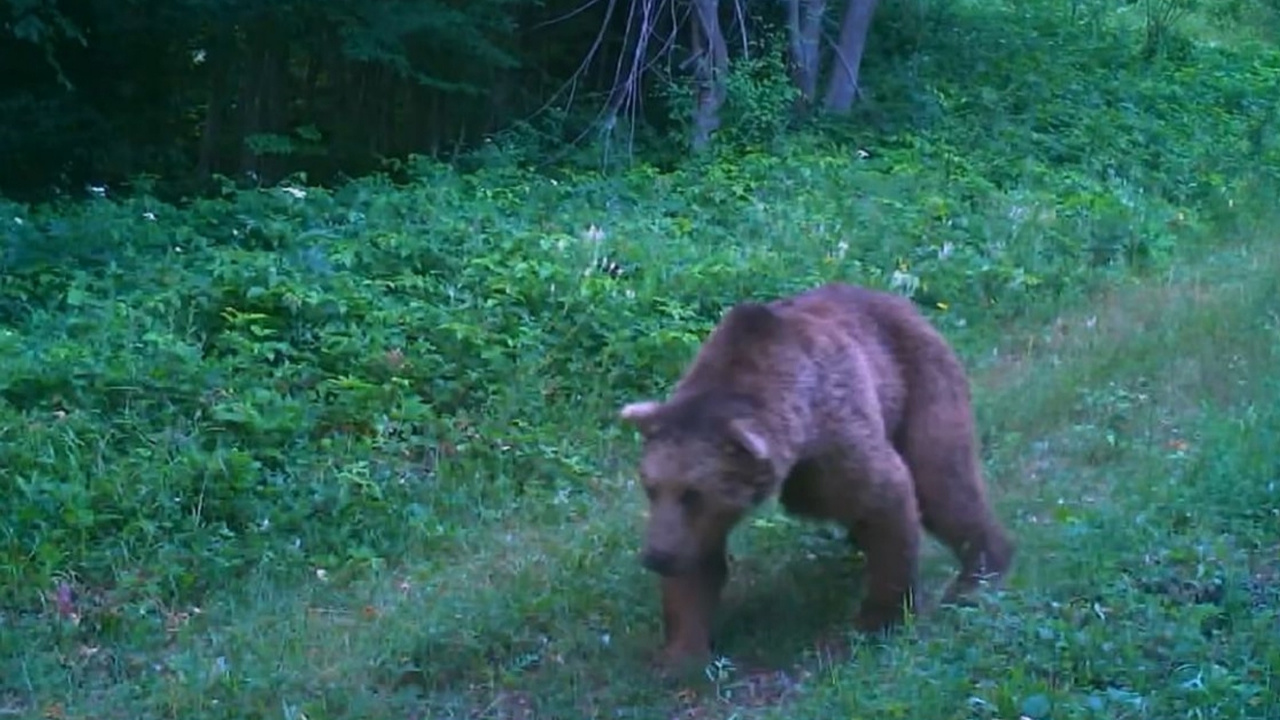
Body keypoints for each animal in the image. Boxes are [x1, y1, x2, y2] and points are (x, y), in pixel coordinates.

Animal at [622, 280, 1018, 666]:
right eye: (651, 487)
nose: (655, 557)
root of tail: (901, 301)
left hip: (920, 381)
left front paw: (877, 620)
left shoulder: (834, 435)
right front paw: (681, 653)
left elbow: (885, 498)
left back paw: (978, 573)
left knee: (943, 480)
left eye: (693, 493)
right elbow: (698, 560)